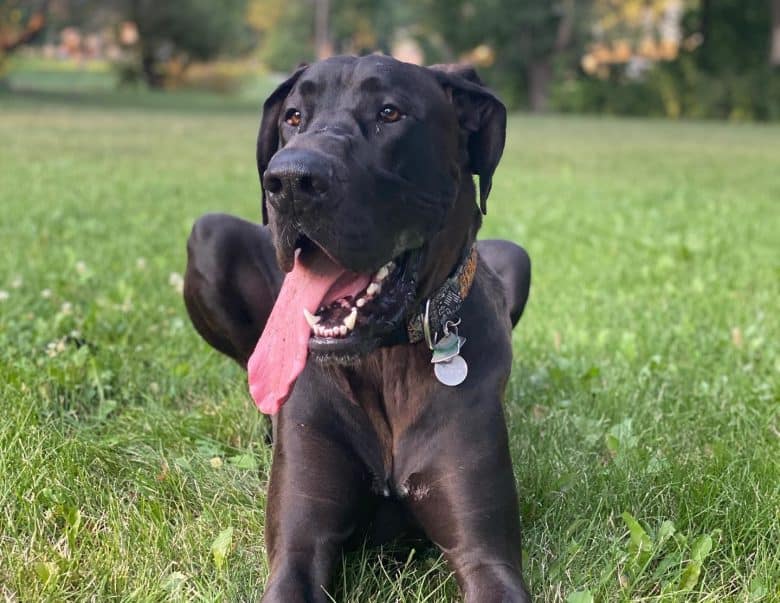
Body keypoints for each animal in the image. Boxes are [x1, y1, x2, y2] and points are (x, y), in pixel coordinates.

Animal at [184, 54, 532, 600]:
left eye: (390, 113)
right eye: (294, 116)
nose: (291, 181)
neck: (383, 359)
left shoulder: (486, 556)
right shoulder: (299, 545)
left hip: (517, 258)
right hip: (209, 236)